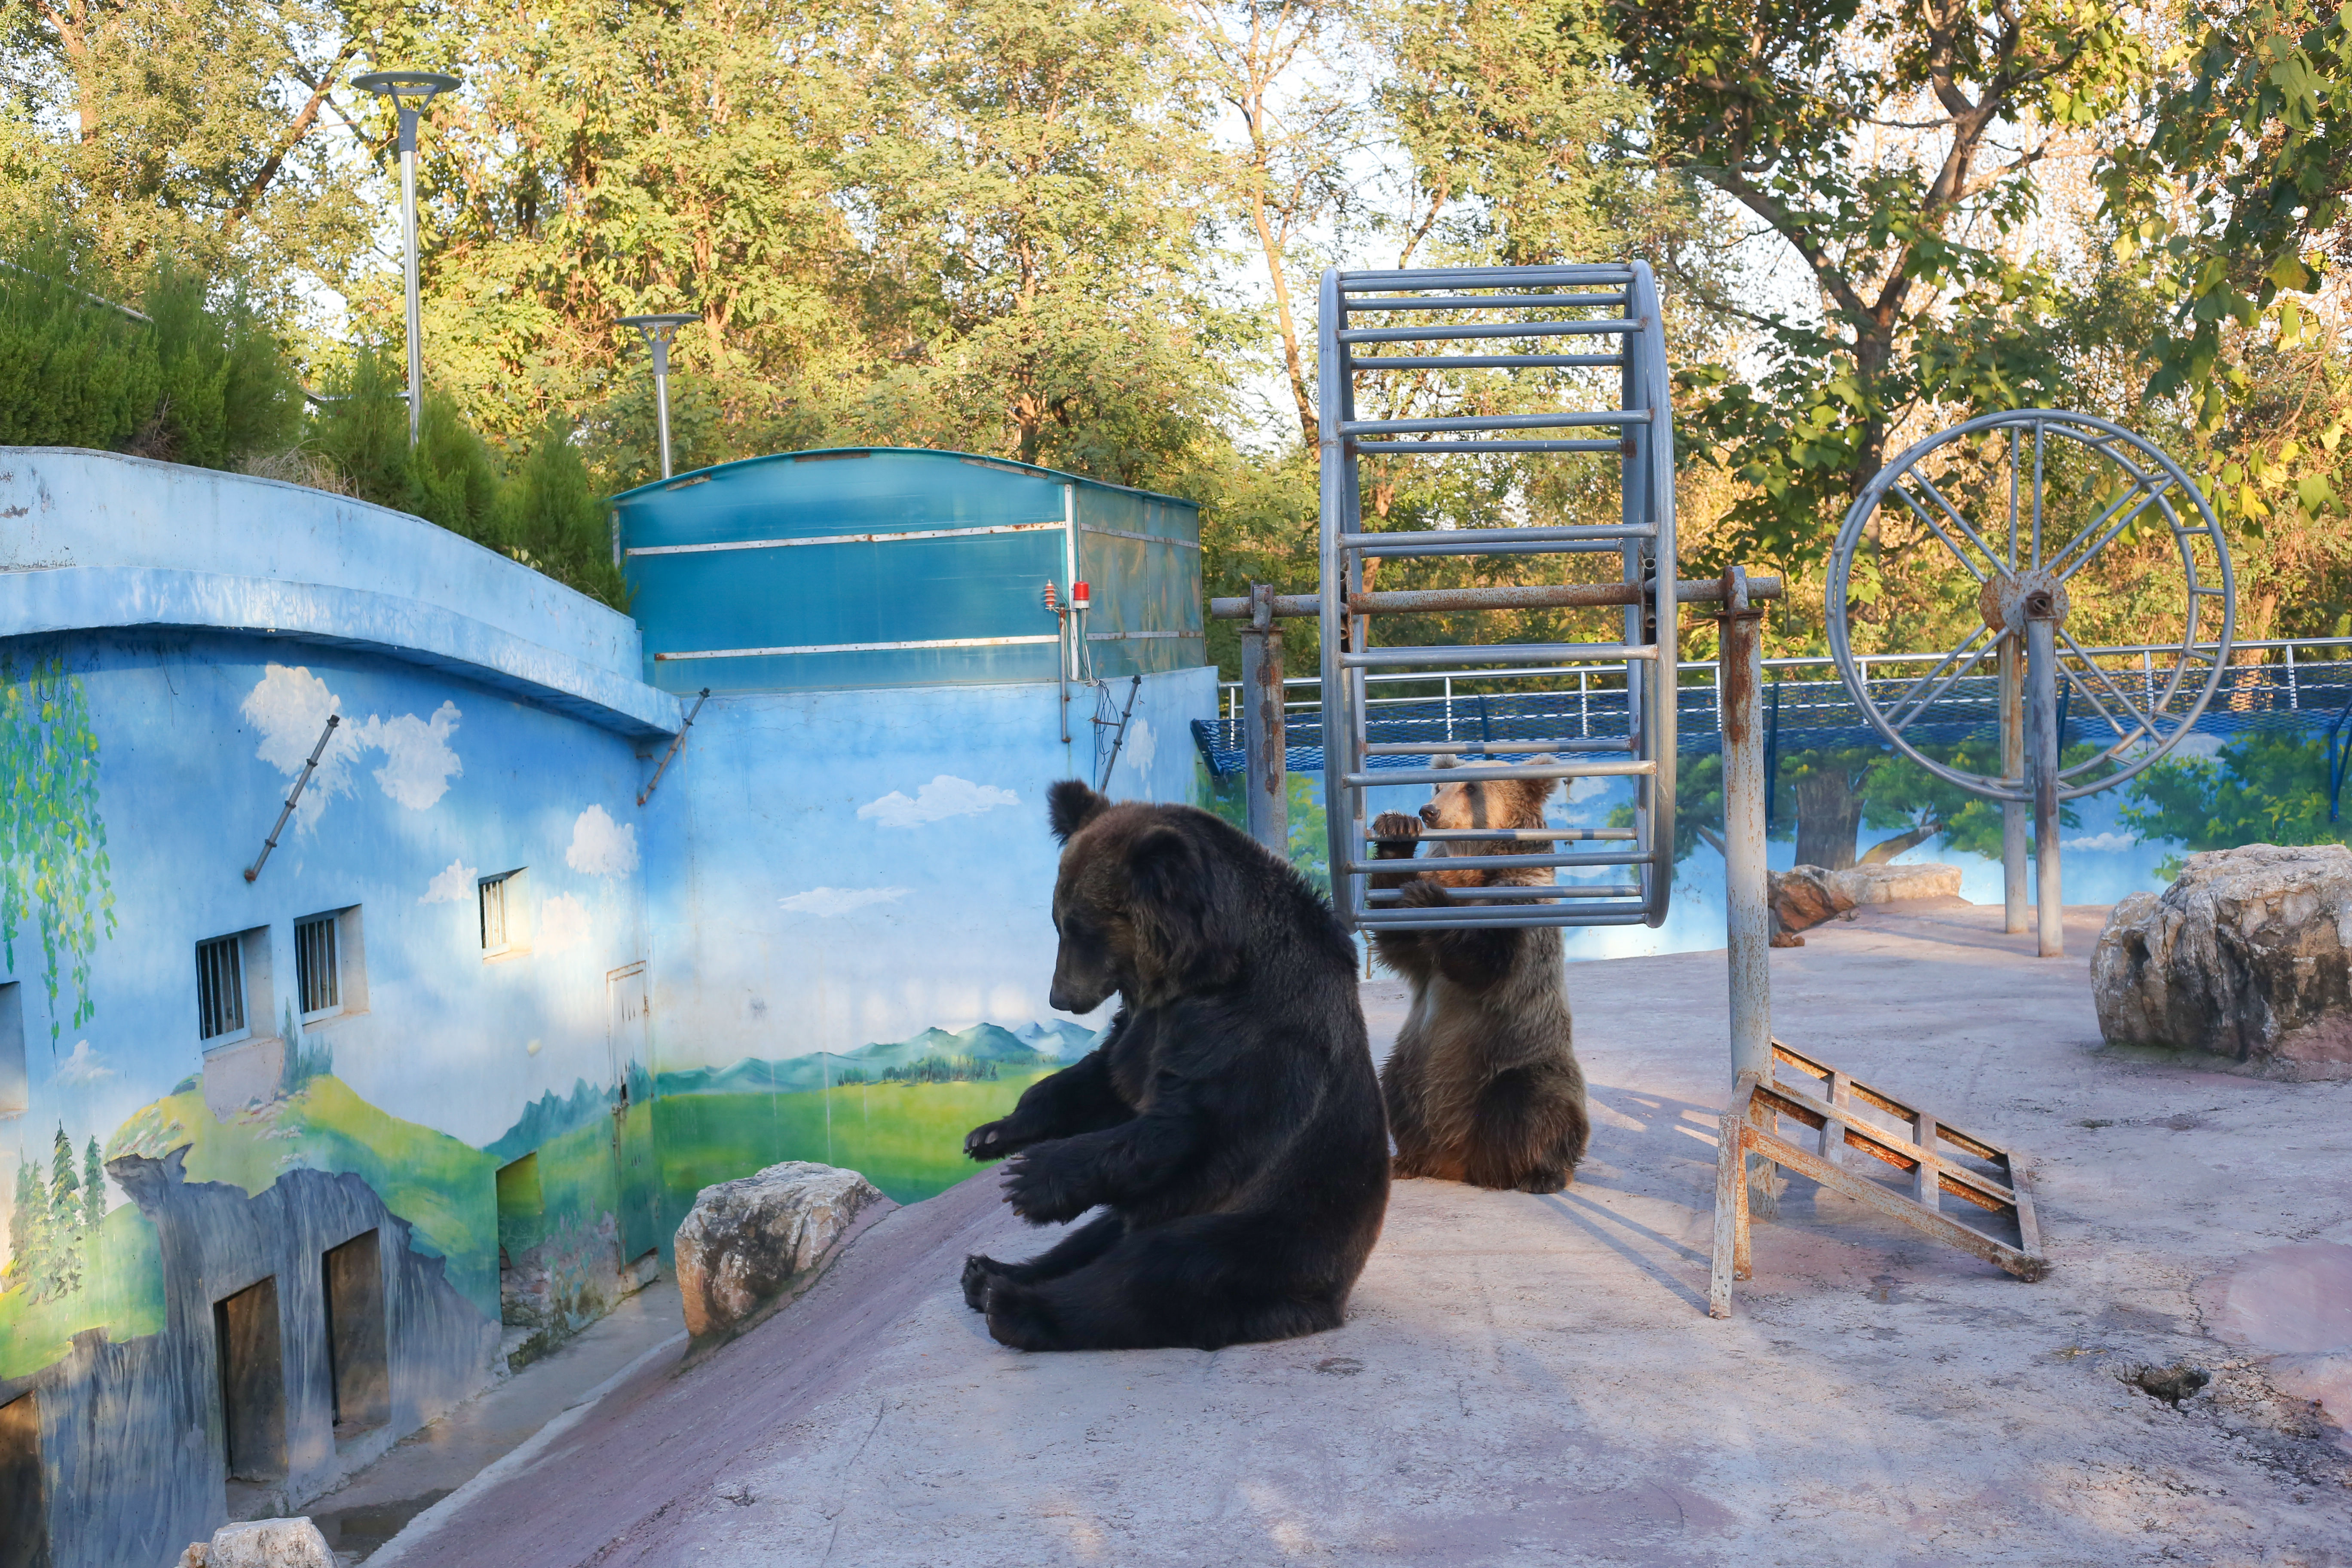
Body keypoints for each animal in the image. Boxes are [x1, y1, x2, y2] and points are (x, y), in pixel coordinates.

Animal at [959, 780, 1383, 1354]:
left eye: (1080, 927)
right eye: (1057, 922)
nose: (1060, 998)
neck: (1204, 969)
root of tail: (1333, 1299)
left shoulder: (1265, 1026)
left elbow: (1199, 1122)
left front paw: (1031, 1178)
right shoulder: (1149, 1025)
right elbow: (1106, 1082)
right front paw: (992, 1134)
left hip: (1270, 1231)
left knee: (1155, 1275)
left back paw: (1016, 1307)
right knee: (1091, 1241)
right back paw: (989, 1273)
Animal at [1373, 762, 1590, 1189]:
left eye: (1471, 788)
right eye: (1438, 787)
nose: (1429, 811)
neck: (1473, 873)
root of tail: (1459, 1162)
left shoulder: (1519, 905)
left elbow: (1485, 961)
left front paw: (1428, 899)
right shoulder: (1420, 956)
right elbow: (1395, 935)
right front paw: (1396, 831)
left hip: (1515, 1060)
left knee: (1537, 1103)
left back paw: (1541, 1172)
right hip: (1412, 1062)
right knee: (1392, 1089)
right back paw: (1406, 1160)